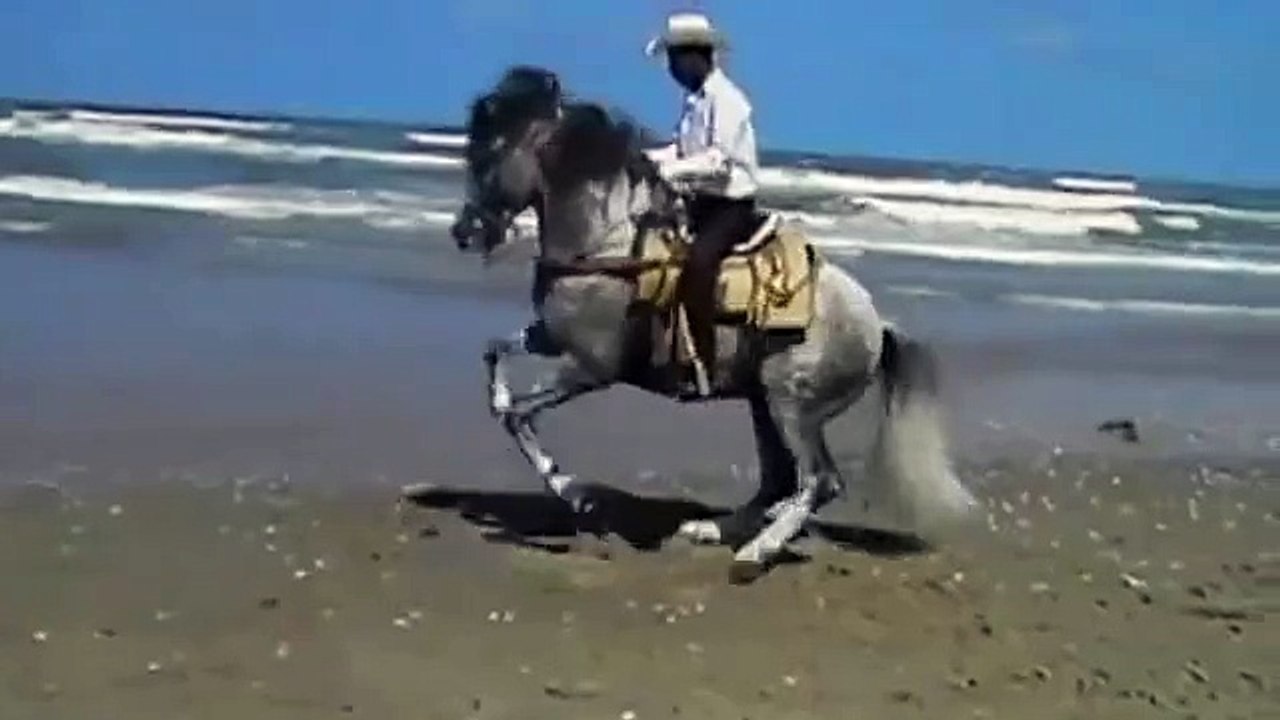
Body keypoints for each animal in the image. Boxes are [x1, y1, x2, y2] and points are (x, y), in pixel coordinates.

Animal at [448, 66, 976, 581]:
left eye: (491, 153)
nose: (464, 232)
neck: (605, 245)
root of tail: (876, 326)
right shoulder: (551, 337)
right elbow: (495, 355)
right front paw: (505, 407)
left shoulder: (591, 368)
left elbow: (520, 416)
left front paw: (575, 493)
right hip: (764, 405)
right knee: (778, 480)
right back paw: (713, 530)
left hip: (793, 407)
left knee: (819, 481)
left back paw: (756, 553)